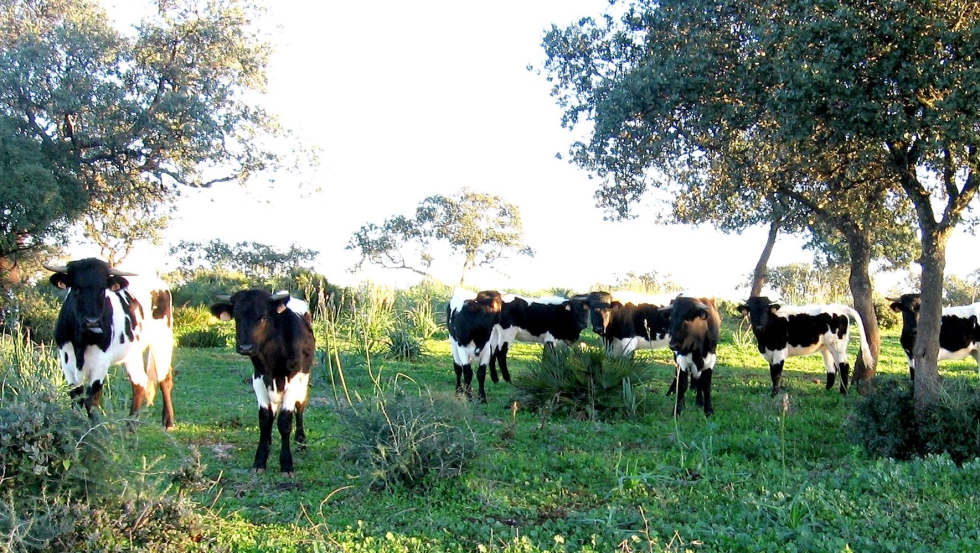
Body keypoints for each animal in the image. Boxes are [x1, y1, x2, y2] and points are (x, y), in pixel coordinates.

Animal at [47, 256, 176, 430]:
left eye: (103, 289)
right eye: (76, 289)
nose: (92, 321)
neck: (81, 341)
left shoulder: (101, 361)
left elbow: (92, 400)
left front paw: (95, 431)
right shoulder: (66, 361)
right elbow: (76, 398)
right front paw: (75, 427)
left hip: (162, 341)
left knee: (164, 378)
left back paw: (168, 421)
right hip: (132, 352)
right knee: (139, 382)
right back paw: (130, 425)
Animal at [211, 288, 314, 474]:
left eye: (263, 317)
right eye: (237, 317)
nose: (245, 347)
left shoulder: (293, 379)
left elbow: (285, 421)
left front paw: (286, 464)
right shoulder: (258, 378)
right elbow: (265, 419)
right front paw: (260, 460)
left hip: (304, 376)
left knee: (300, 405)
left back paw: (301, 440)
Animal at [736, 296, 872, 394]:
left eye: (766, 311)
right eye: (751, 310)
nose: (758, 327)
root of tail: (839, 308)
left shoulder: (779, 351)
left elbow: (776, 374)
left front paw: (774, 394)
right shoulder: (770, 354)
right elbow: (772, 373)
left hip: (837, 345)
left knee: (844, 366)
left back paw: (843, 393)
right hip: (826, 347)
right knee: (832, 368)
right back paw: (826, 391)